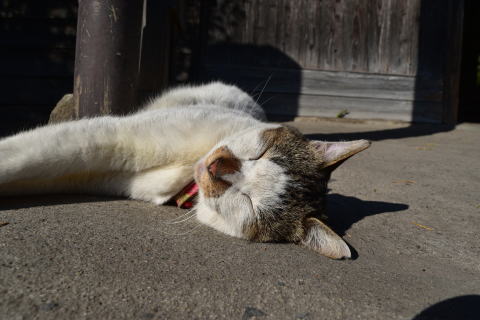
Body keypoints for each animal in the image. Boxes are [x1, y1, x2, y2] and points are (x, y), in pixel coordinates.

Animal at [0, 82, 372, 260]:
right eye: (261, 152)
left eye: (248, 201)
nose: (219, 166)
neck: (186, 170)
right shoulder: (114, 136)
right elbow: (24, 154)